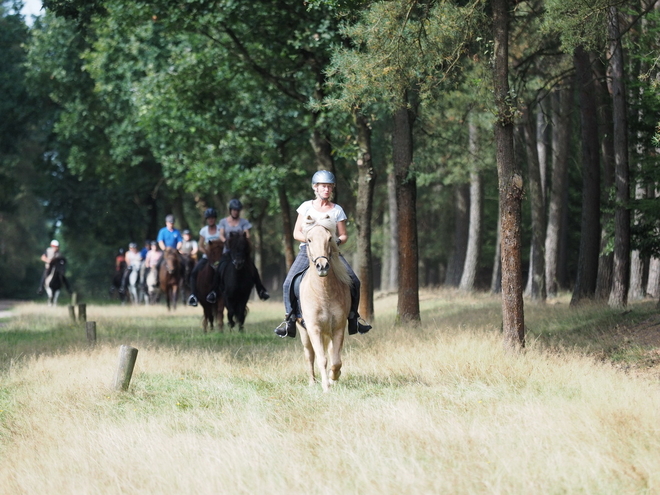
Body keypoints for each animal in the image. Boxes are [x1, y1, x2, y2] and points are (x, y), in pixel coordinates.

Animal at [298, 215, 354, 394]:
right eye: (309, 240)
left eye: (329, 238)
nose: (322, 266)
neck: (324, 293)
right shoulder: (314, 328)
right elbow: (321, 359)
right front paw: (326, 387)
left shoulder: (338, 327)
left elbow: (336, 360)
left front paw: (333, 378)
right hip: (304, 332)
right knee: (309, 355)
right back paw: (312, 382)